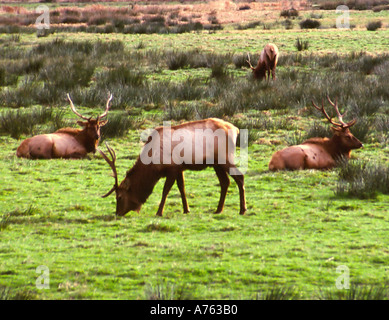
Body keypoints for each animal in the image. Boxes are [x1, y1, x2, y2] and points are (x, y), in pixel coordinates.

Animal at [98, 118, 247, 218]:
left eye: (119, 197)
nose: (117, 213)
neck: (154, 164)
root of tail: (235, 129)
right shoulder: (179, 168)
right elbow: (182, 188)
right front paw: (186, 209)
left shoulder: (172, 168)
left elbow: (166, 190)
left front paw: (159, 212)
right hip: (216, 164)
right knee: (225, 182)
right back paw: (218, 210)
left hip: (225, 158)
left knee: (239, 177)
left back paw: (242, 209)